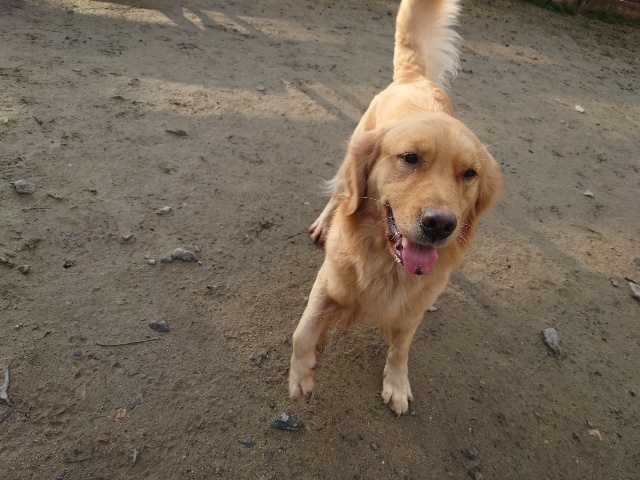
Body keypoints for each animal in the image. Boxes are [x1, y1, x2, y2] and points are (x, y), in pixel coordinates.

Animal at [289, 0, 502, 416]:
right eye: (410, 158)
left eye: (469, 173)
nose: (440, 224)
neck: (386, 265)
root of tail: (414, 78)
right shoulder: (327, 282)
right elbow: (302, 332)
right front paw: (301, 376)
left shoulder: (414, 308)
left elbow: (401, 348)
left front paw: (397, 384)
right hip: (353, 149)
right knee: (339, 192)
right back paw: (324, 223)